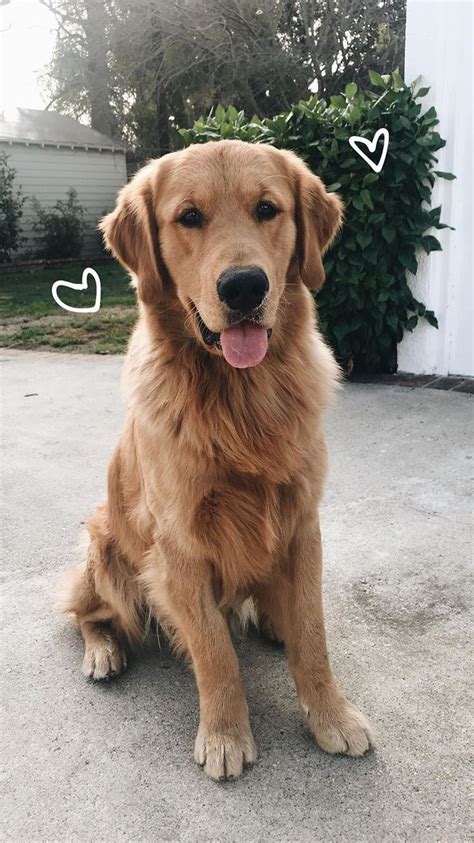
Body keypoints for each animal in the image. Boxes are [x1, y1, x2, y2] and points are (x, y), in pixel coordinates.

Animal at [58, 137, 370, 780]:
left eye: (267, 209)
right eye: (189, 217)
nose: (244, 287)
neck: (240, 398)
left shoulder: (303, 523)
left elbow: (313, 633)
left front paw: (332, 716)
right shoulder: (179, 545)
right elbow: (213, 649)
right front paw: (226, 736)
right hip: (105, 549)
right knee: (87, 611)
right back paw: (102, 653)